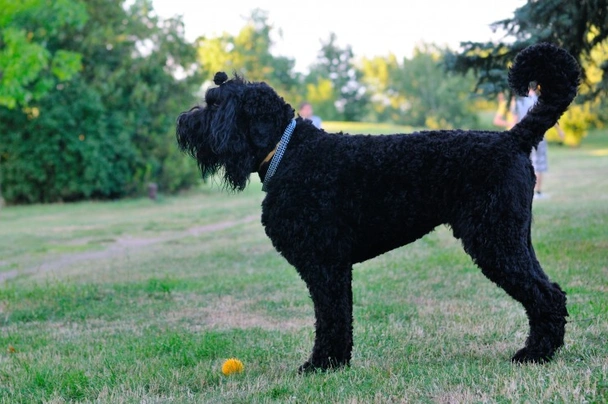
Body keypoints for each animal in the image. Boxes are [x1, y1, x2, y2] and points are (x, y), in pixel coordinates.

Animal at [175, 42, 580, 370]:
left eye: (215, 104)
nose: (184, 123)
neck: (290, 151)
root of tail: (513, 139)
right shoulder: (333, 266)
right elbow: (338, 316)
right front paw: (336, 362)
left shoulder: (325, 264)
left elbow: (330, 316)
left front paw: (321, 364)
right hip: (514, 239)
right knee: (552, 292)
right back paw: (543, 350)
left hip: (496, 241)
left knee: (543, 295)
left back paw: (533, 354)